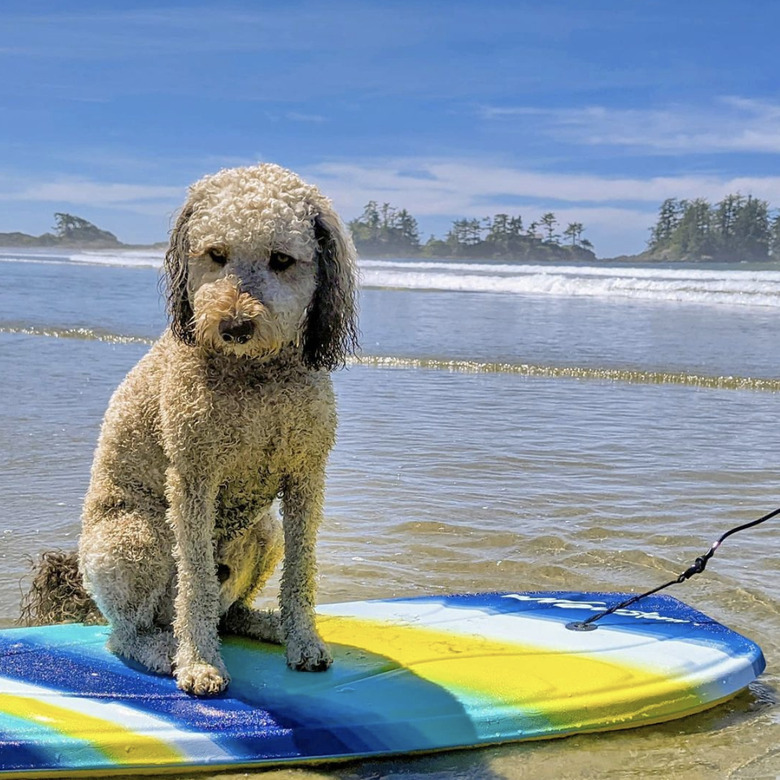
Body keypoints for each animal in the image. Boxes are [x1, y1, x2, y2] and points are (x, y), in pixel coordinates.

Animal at [24, 163, 360, 696]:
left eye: (282, 260)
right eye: (215, 254)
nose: (234, 327)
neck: (255, 375)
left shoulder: (307, 475)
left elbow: (301, 570)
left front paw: (303, 640)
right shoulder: (194, 479)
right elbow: (197, 580)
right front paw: (200, 663)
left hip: (265, 532)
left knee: (230, 613)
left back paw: (265, 625)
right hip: (134, 540)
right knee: (127, 634)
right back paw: (168, 651)